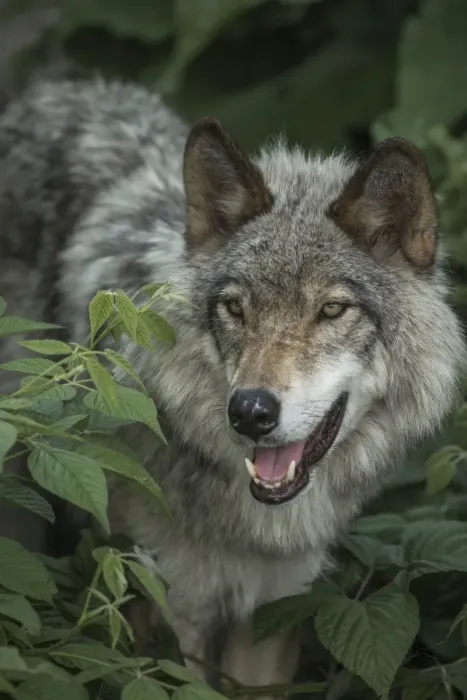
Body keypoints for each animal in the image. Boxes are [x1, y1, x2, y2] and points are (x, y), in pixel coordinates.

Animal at [0, 79, 464, 691]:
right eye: (235, 309)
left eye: (332, 310)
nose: (249, 411)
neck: (252, 525)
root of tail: (50, 90)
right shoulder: (170, 610)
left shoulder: (274, 612)